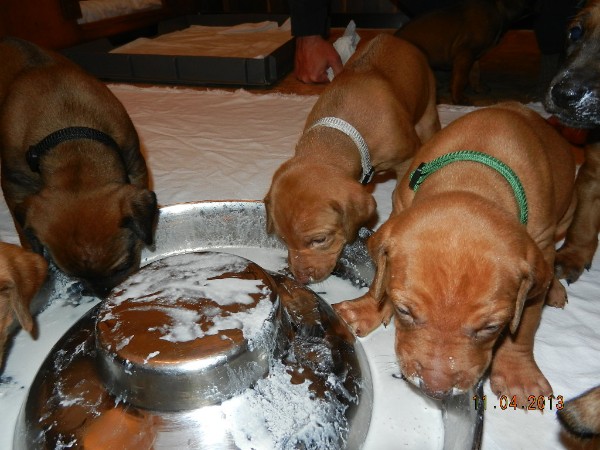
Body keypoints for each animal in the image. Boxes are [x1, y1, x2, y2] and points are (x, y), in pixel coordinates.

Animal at [0, 37, 158, 297]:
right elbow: (24, 230)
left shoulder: (135, 162)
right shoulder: (14, 183)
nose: (102, 295)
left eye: (123, 266)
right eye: (73, 275)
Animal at [264, 33, 441, 284]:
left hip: (428, 110)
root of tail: (395, 37)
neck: (341, 131)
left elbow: (399, 194)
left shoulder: (407, 157)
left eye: (320, 240)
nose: (301, 279)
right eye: (282, 239)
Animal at [334, 102, 576, 402]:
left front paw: (518, 374)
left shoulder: (540, 245)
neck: (473, 178)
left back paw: (555, 290)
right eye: (404, 311)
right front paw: (366, 308)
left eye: (491, 328)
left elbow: (526, 323)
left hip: (566, 215)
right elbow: (382, 278)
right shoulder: (399, 209)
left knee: (549, 272)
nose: (435, 390)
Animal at [395, 0, 534, 104]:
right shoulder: (465, 53)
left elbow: (475, 73)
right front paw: (459, 98)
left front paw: (478, 88)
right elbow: (460, 77)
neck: (497, 8)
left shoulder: (474, 56)